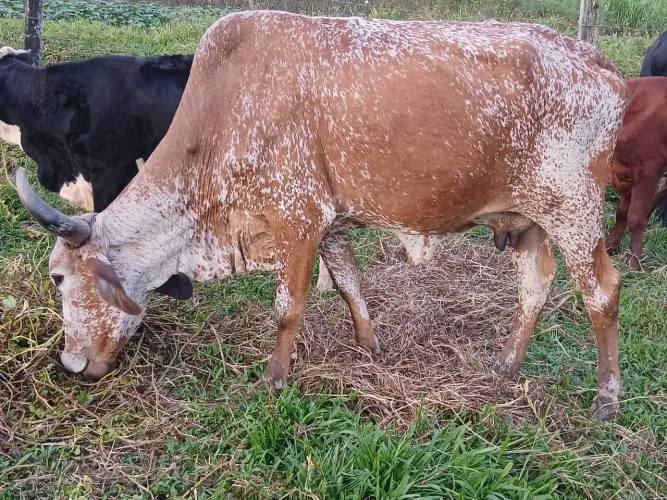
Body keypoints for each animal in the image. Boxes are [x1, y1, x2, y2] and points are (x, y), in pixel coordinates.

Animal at [606, 77, 667, 268]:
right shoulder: (627, 171)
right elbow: (622, 211)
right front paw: (611, 245)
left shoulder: (648, 169)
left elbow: (636, 216)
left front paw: (633, 261)